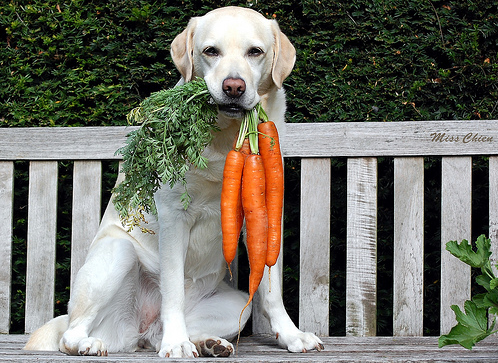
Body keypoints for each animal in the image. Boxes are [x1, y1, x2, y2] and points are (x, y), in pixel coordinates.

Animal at [24, 5, 322, 358]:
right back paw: (92, 344)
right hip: (117, 252)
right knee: (70, 334)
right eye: (211, 51)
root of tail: (138, 329)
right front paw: (176, 343)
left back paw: (209, 344)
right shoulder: (173, 217)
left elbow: (271, 291)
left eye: (255, 52)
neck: (225, 138)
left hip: (237, 304)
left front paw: (291, 335)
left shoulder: (263, 219)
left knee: (159, 335)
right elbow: (173, 290)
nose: (233, 87)